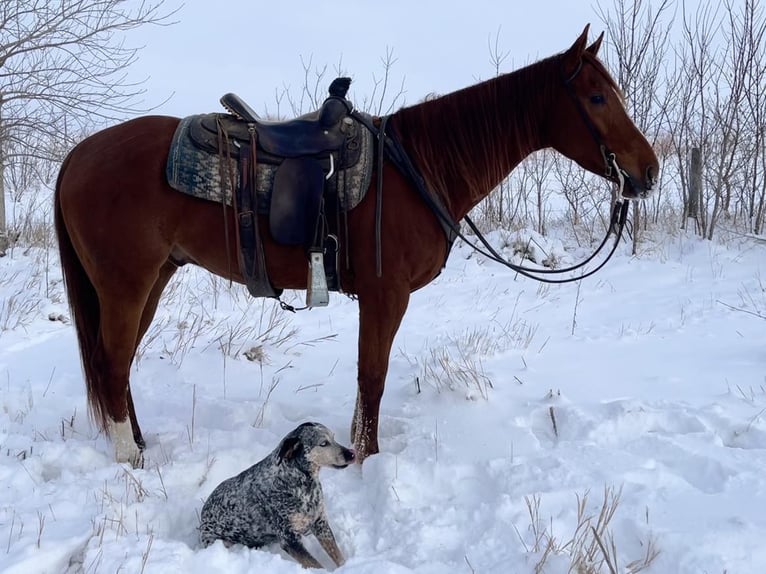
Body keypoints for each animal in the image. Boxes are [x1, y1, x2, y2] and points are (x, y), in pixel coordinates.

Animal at [54, 27, 660, 468]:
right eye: (597, 97)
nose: (648, 171)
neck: (418, 169)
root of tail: (78, 155)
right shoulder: (385, 295)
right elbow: (373, 379)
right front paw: (368, 459)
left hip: (154, 277)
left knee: (117, 366)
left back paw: (137, 444)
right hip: (127, 284)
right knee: (112, 362)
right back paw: (129, 457)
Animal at [196, 424, 356, 572]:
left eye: (334, 438)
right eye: (323, 443)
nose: (352, 454)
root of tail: (202, 519)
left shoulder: (320, 523)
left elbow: (337, 555)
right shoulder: (289, 539)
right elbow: (316, 565)